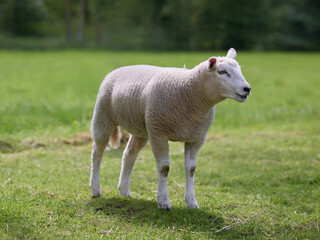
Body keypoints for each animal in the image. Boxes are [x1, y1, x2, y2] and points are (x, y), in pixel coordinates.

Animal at [89, 47, 250, 209]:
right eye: (222, 72)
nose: (247, 89)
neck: (189, 93)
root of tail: (119, 69)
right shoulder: (158, 133)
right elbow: (164, 168)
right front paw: (163, 201)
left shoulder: (196, 138)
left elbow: (191, 169)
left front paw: (191, 202)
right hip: (103, 117)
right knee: (97, 153)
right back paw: (95, 189)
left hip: (141, 129)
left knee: (129, 154)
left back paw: (124, 191)